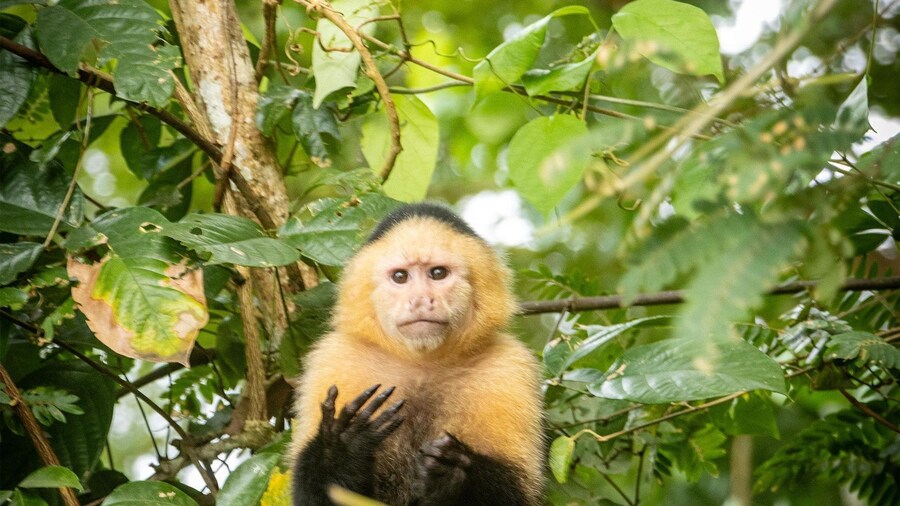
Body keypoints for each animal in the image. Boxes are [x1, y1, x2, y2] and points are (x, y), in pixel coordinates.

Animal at [290, 203, 544, 506]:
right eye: (400, 277)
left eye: (438, 273)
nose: (421, 299)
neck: (422, 362)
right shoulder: (335, 357)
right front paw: (345, 445)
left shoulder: (509, 366)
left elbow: (517, 492)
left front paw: (453, 472)